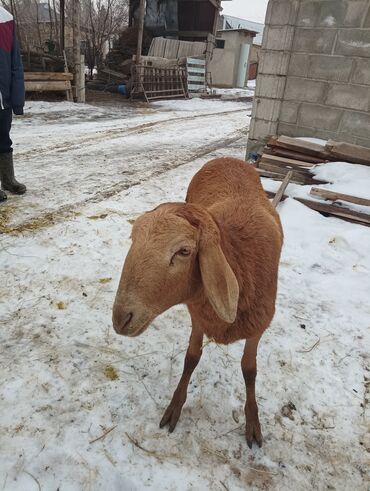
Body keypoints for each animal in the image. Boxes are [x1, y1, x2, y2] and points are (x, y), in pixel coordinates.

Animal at [112, 158, 284, 450]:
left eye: (184, 251)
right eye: (133, 239)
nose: (120, 318)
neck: (240, 260)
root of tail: (227, 158)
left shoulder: (258, 327)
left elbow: (249, 370)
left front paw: (252, 422)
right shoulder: (198, 315)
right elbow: (191, 358)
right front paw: (175, 407)